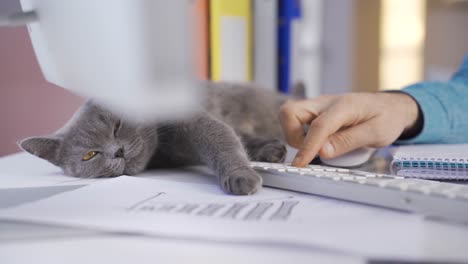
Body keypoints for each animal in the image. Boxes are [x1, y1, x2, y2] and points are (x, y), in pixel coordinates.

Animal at [20, 81, 290, 195]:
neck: (164, 153)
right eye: (90, 155)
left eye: (117, 126)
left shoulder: (192, 120)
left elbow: (221, 137)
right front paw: (267, 152)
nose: (117, 151)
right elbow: (234, 134)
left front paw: (240, 177)